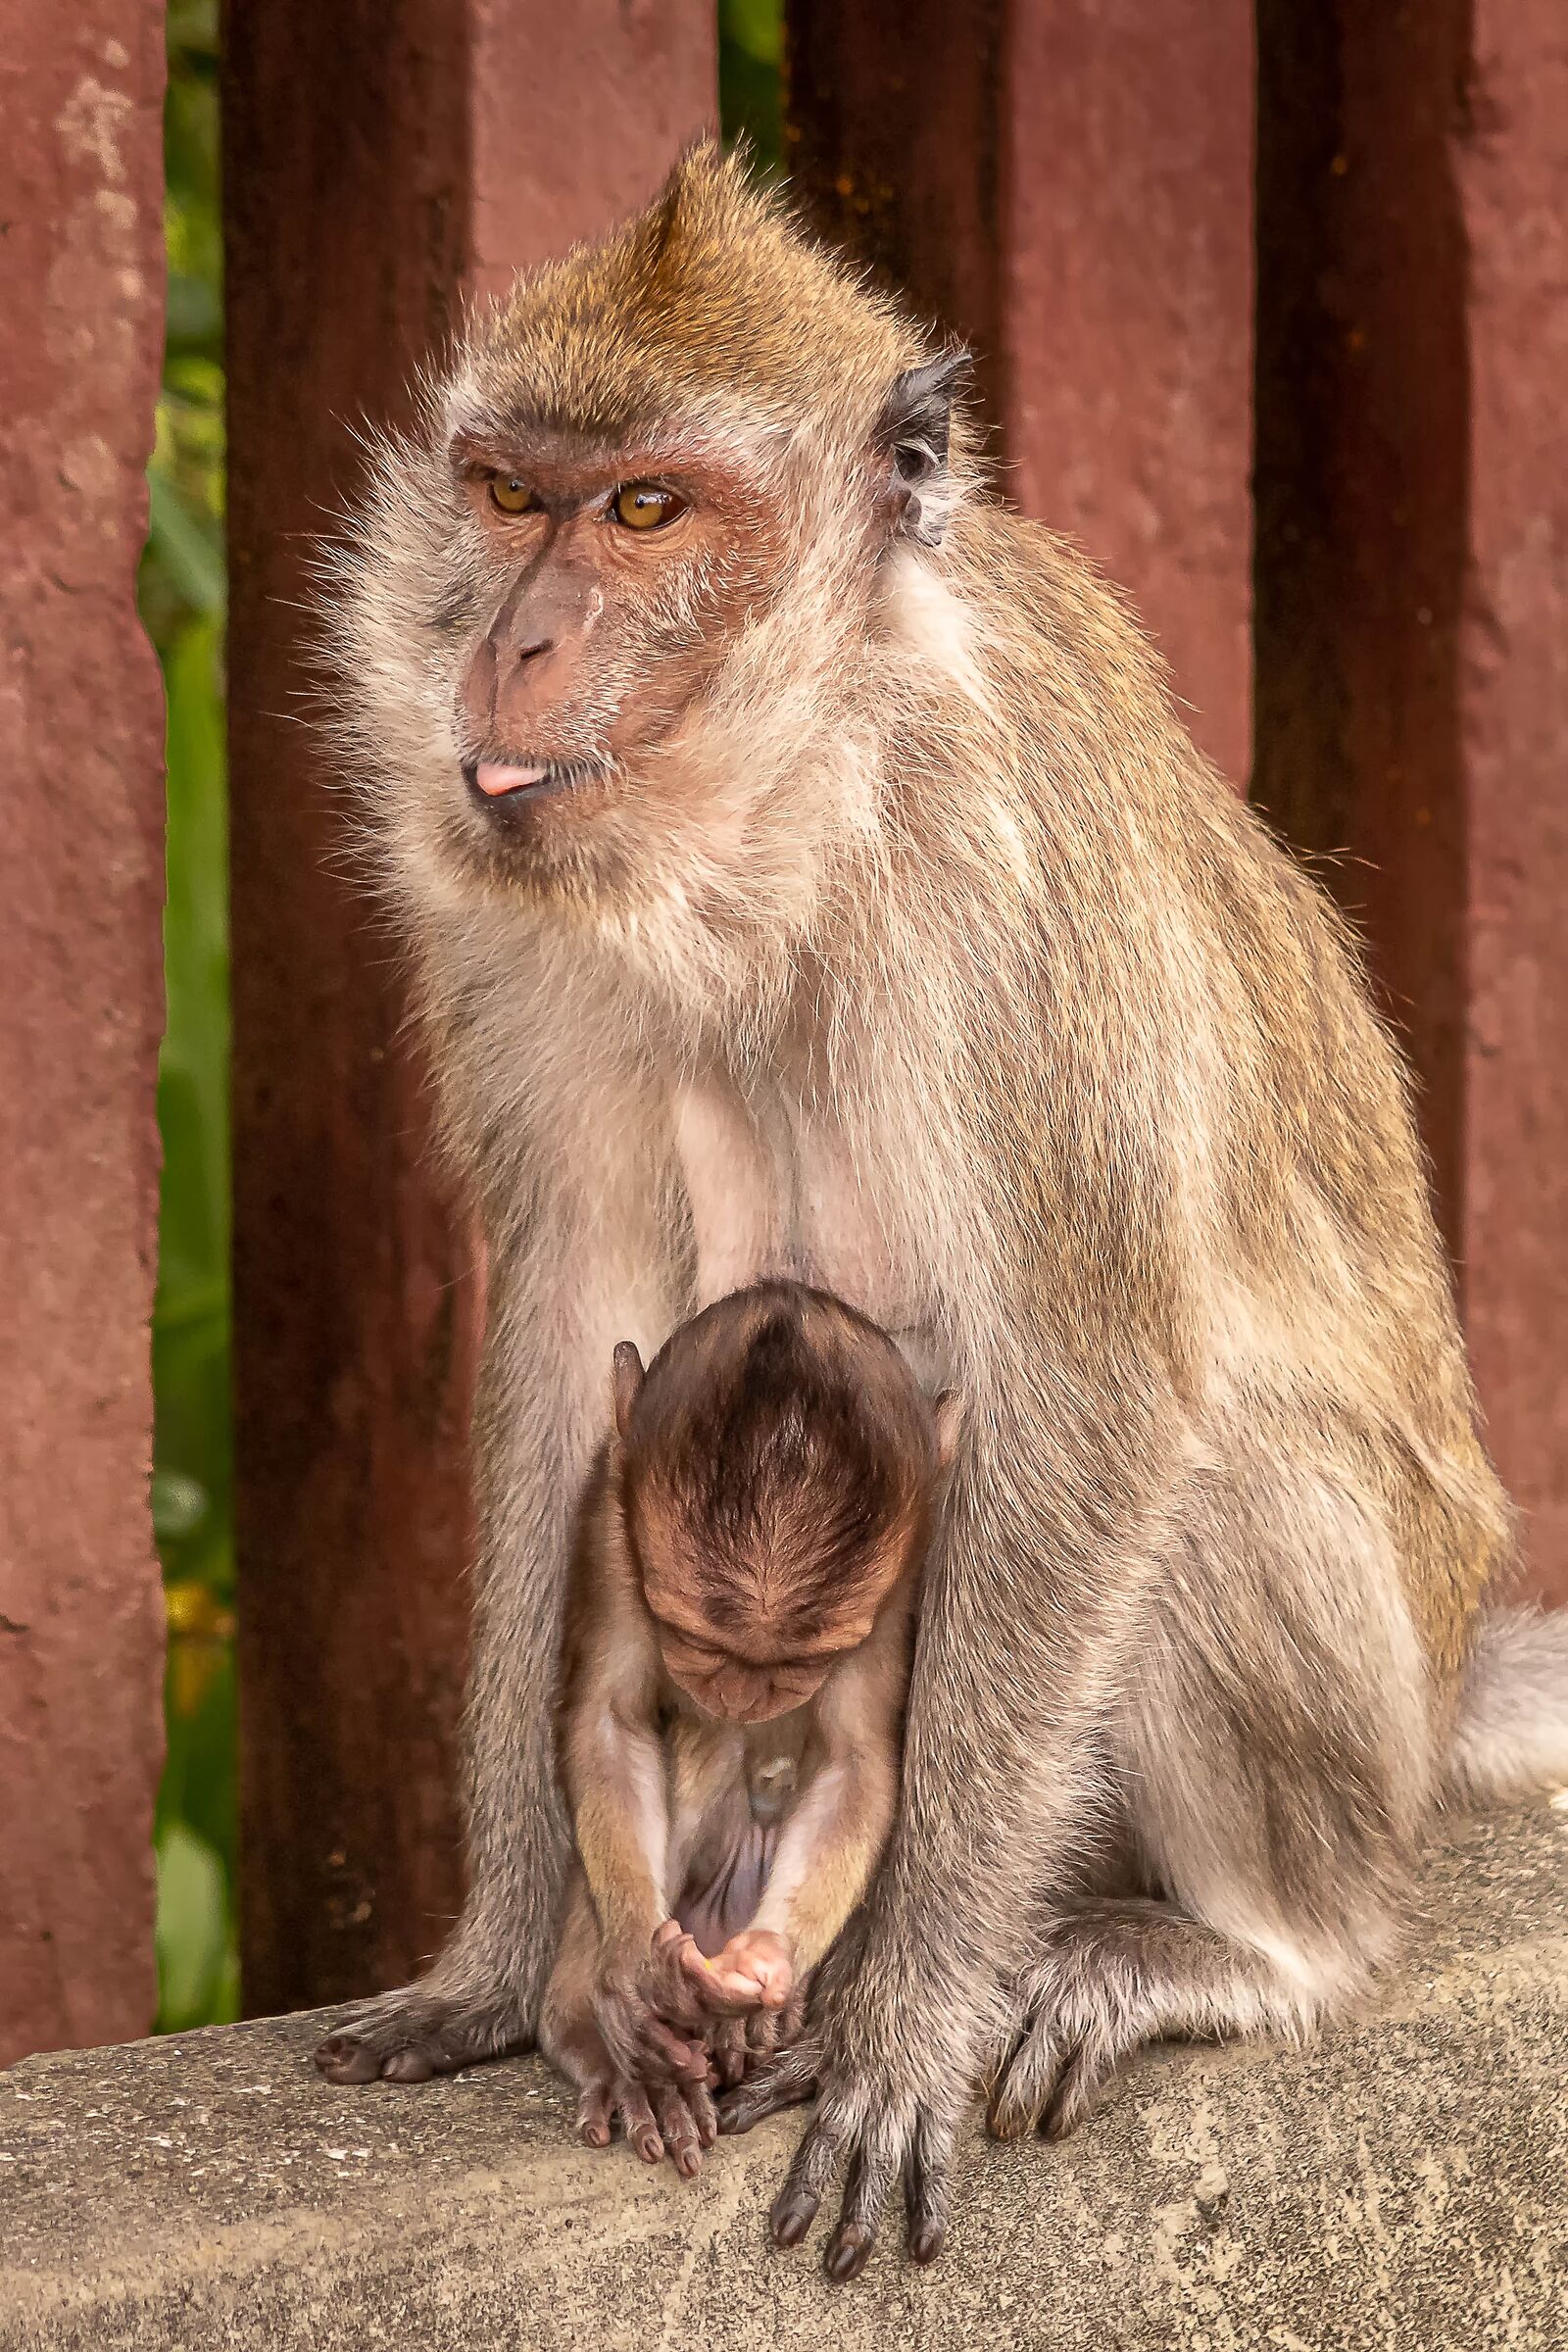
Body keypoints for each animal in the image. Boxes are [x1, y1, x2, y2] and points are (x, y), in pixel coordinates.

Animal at [535, 1280, 961, 2185]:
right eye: (690, 1637)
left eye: (803, 1662)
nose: (734, 1690)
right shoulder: (610, 1528)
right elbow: (611, 1724)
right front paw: (632, 1977)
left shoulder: (893, 1593)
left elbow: (857, 1763)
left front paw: (769, 1962)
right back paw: (611, 2042)